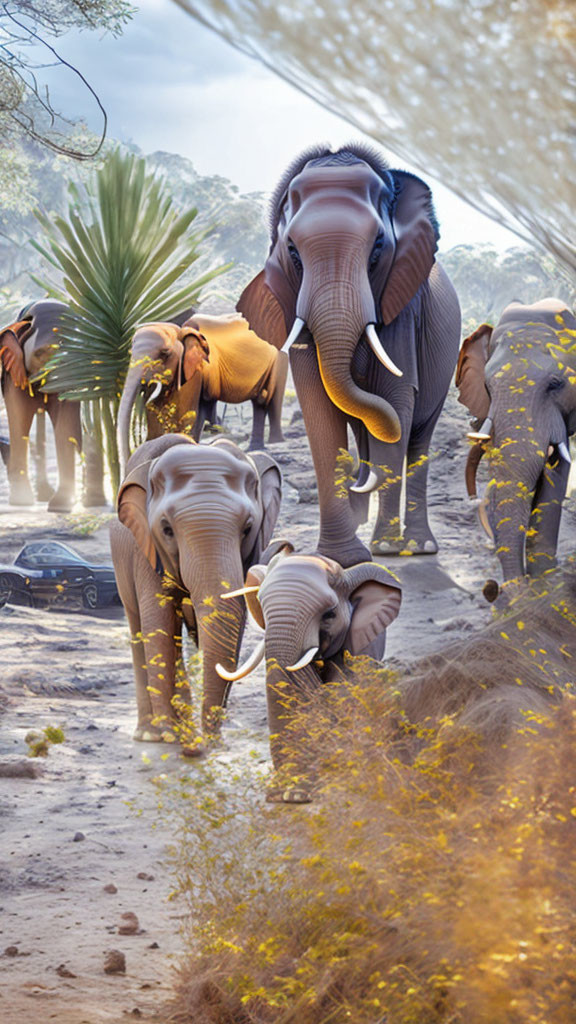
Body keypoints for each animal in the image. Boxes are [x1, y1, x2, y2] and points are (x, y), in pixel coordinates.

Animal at [0, 301, 105, 512]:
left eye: (77, 355)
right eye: (40, 353)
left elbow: (65, 427)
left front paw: (60, 506)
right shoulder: (13, 372)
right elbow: (20, 421)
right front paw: (21, 501)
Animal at [108, 432, 280, 753]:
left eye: (248, 528)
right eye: (166, 529)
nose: (202, 745)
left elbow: (232, 624)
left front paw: (204, 738)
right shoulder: (145, 550)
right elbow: (159, 626)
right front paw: (171, 736)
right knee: (139, 624)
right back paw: (150, 734)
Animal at [116, 311, 286, 471]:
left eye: (165, 353)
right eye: (130, 353)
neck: (181, 330)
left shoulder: (197, 370)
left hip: (279, 357)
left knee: (269, 398)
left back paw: (275, 442)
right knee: (258, 402)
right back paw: (255, 447)